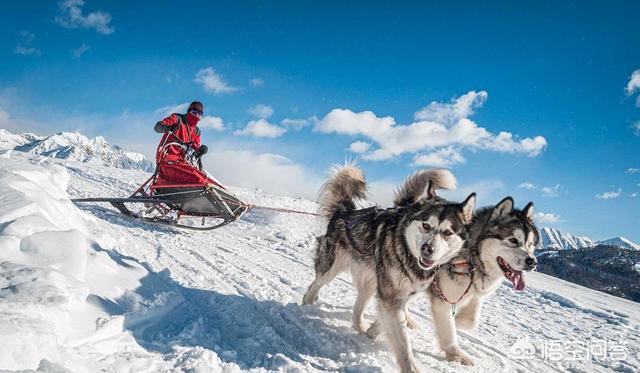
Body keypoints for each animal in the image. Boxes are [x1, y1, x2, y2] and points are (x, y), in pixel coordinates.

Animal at [302, 166, 476, 372]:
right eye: (426, 225)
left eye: (448, 233)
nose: (428, 249)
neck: (407, 253)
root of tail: (344, 213)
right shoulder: (391, 297)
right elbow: (403, 342)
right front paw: (411, 367)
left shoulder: (402, 294)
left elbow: (393, 321)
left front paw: (373, 330)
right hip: (331, 268)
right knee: (315, 284)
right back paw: (307, 304)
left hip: (370, 283)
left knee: (357, 309)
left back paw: (360, 327)